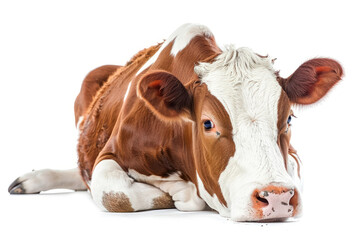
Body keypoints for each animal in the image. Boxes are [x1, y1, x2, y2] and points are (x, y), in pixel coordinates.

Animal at [7, 23, 342, 221]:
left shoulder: (293, 158)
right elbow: (112, 192)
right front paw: (181, 191)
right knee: (82, 172)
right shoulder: (110, 153)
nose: (276, 197)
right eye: (207, 124)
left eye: (288, 119)